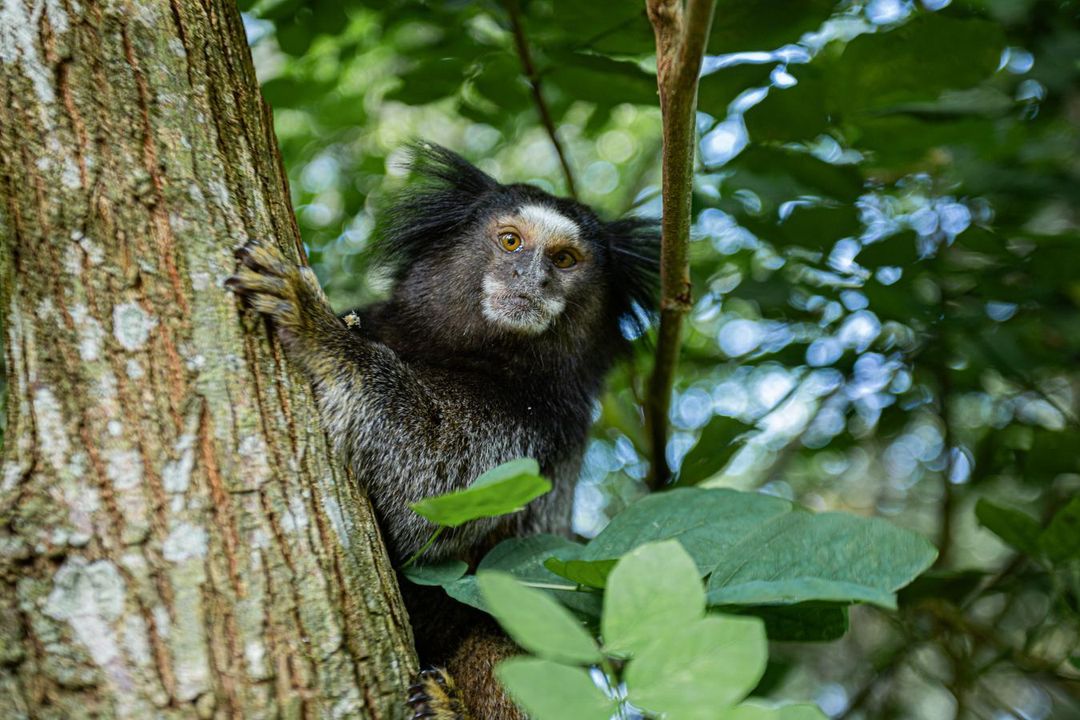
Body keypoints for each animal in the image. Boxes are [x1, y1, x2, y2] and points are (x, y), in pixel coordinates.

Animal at [227, 143, 656, 716]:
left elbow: (428, 489)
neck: (460, 354)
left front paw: (318, 329)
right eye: (511, 240)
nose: (531, 278)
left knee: (504, 646)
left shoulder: (534, 430)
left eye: (565, 260)